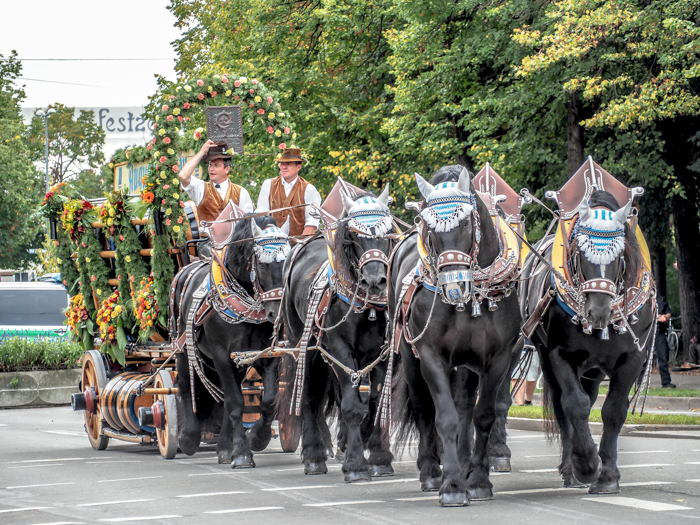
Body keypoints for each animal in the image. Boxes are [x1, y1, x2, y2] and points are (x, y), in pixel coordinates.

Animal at [172, 215, 290, 464]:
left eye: (287, 263)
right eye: (262, 264)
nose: (276, 313)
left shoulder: (265, 354)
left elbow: (268, 401)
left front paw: (257, 438)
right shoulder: (221, 355)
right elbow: (235, 402)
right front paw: (243, 454)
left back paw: (225, 447)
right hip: (183, 349)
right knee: (185, 386)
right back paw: (188, 438)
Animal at [280, 188, 400, 484]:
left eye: (387, 232)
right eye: (353, 235)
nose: (375, 280)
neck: (368, 308)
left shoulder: (382, 355)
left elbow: (376, 403)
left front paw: (379, 458)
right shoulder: (340, 352)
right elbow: (351, 407)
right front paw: (356, 465)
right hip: (306, 349)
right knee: (309, 396)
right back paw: (314, 455)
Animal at [392, 166, 524, 506]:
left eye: (465, 222)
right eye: (428, 225)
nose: (453, 287)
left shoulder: (499, 359)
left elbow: (483, 415)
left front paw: (477, 481)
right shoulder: (430, 356)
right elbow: (444, 417)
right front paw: (451, 486)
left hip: (467, 363)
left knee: (466, 404)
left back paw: (465, 465)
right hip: (410, 359)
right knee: (423, 409)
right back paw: (430, 471)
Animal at [524, 189, 652, 492]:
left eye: (620, 252)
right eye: (580, 251)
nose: (599, 311)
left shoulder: (633, 358)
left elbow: (613, 410)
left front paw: (608, 477)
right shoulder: (559, 354)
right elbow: (575, 405)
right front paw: (586, 466)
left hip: (593, 371)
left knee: (590, 396)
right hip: (546, 359)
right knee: (563, 407)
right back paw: (570, 468)